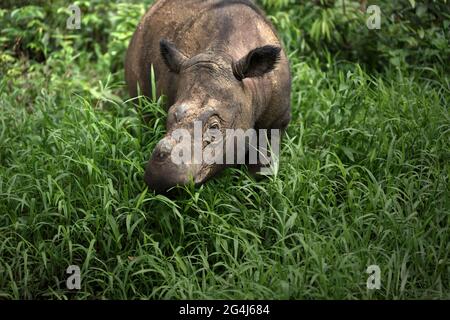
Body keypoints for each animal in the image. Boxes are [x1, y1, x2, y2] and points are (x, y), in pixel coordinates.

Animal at [124, 0, 292, 192]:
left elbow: (263, 163)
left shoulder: (278, 119)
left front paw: (255, 188)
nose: (159, 178)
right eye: (170, 114)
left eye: (214, 127)